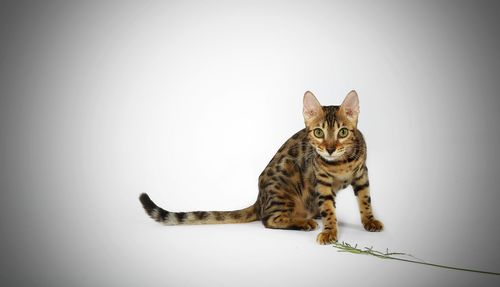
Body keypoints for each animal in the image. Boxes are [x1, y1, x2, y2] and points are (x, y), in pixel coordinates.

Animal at [141, 91, 382, 244]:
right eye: (318, 132)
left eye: (343, 132)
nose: (330, 149)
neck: (340, 164)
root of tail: (259, 198)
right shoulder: (321, 182)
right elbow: (329, 208)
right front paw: (330, 231)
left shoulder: (362, 175)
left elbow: (365, 201)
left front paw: (370, 221)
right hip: (286, 182)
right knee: (270, 219)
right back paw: (304, 222)